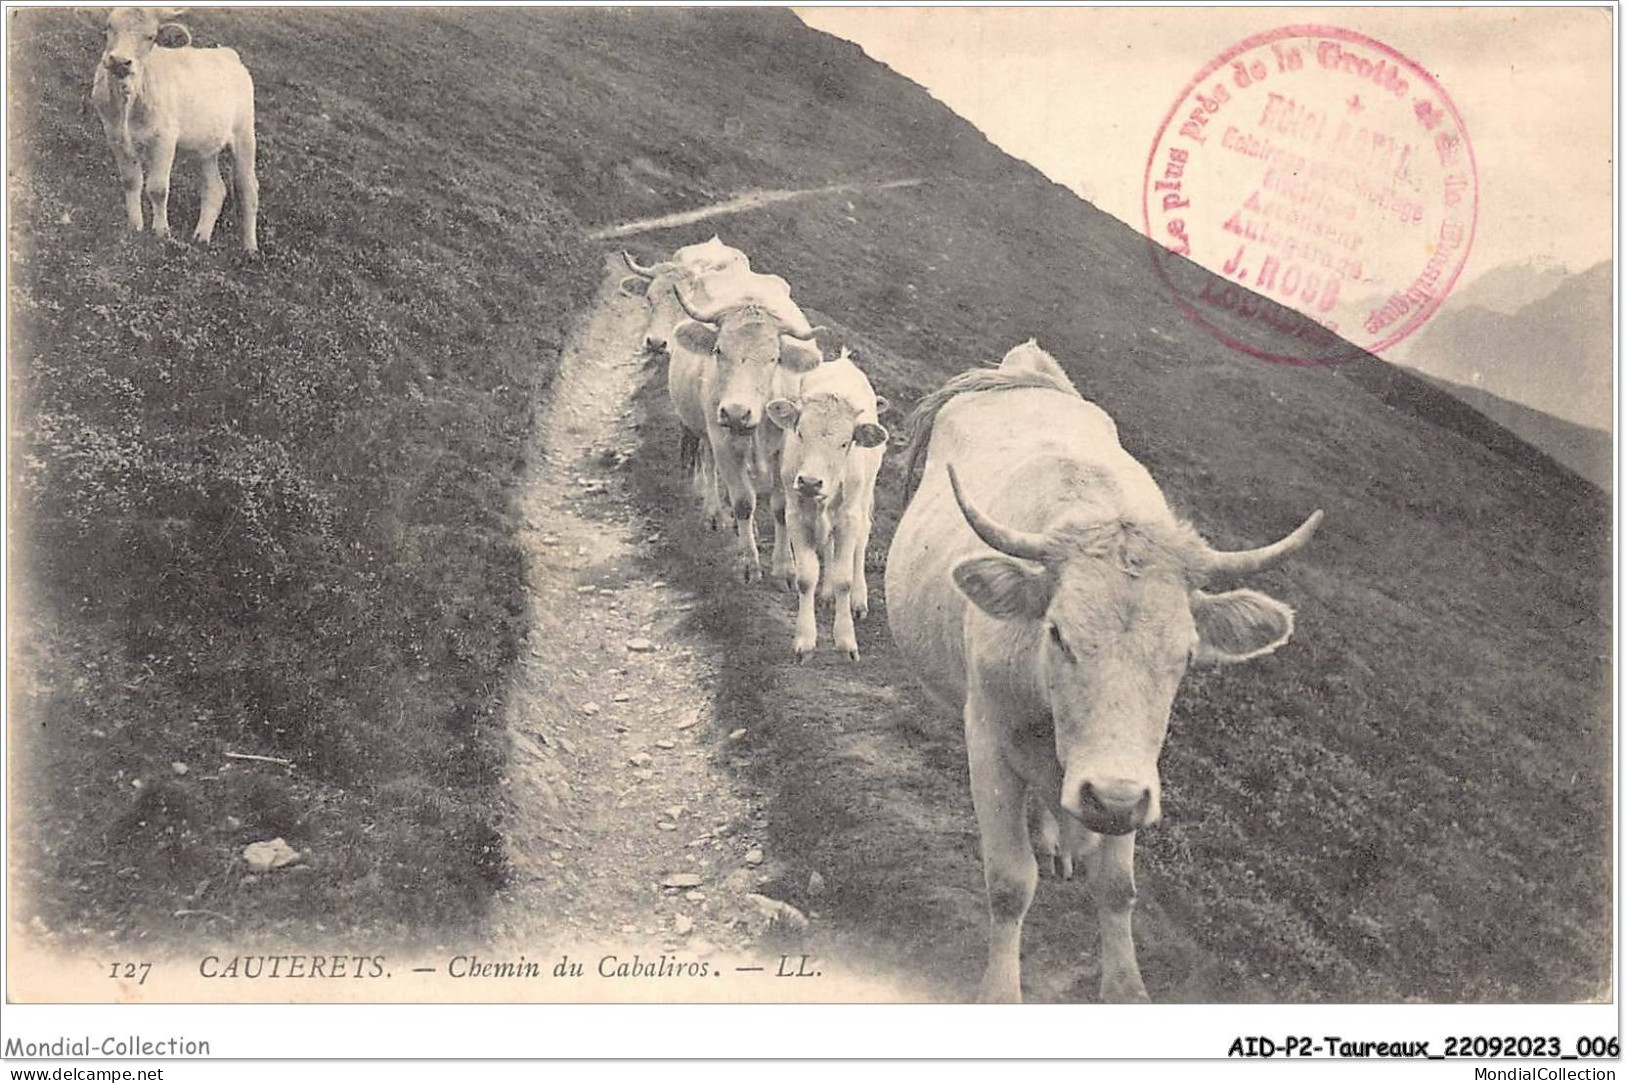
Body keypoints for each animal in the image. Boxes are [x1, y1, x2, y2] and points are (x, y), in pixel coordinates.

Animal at [86, 6, 260, 250]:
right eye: (110, 25)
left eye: (150, 37)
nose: (120, 61)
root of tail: (227, 53)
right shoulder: (114, 136)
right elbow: (131, 181)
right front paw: (135, 226)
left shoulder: (164, 139)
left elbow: (157, 189)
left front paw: (161, 232)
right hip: (205, 148)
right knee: (215, 188)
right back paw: (201, 238)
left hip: (244, 135)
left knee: (247, 188)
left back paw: (250, 248)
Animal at [763, 349, 890, 663]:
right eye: (799, 433)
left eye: (845, 443)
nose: (810, 482)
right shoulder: (796, 515)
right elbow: (806, 578)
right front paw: (805, 641)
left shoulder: (848, 518)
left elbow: (845, 577)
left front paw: (845, 641)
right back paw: (828, 593)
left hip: (864, 498)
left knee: (860, 544)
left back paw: (858, 600)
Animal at [890, 339, 1319, 1001]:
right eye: (1057, 633)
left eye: (1186, 655)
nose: (1109, 801)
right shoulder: (988, 737)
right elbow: (1009, 882)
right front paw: (1000, 990)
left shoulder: (1135, 772)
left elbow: (1117, 888)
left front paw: (1125, 987)